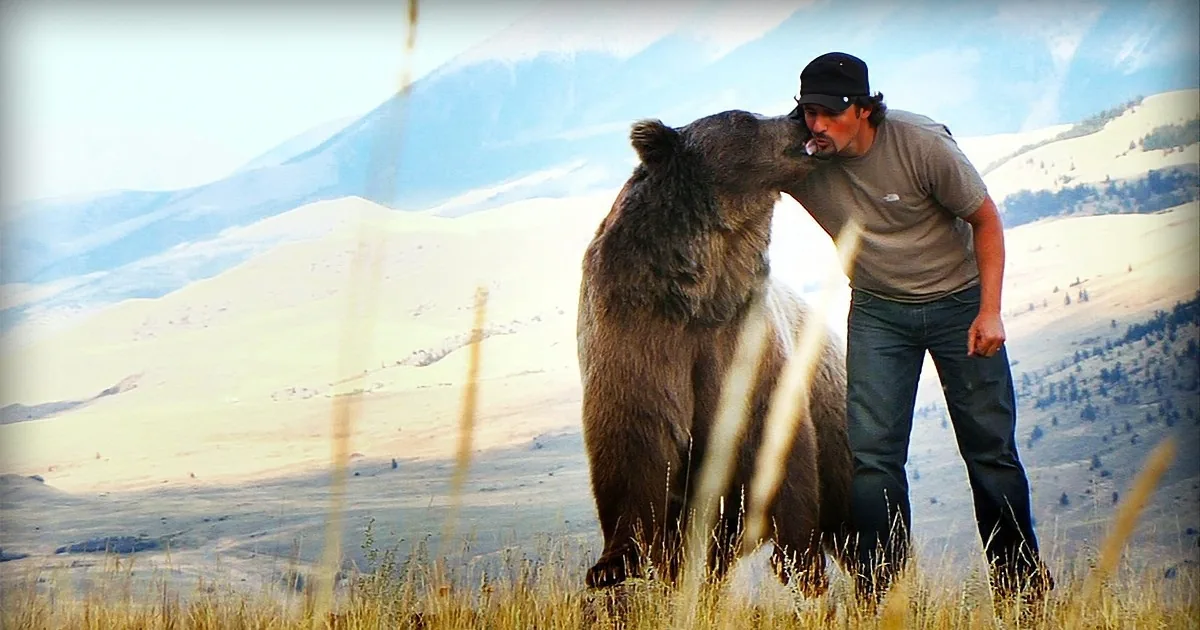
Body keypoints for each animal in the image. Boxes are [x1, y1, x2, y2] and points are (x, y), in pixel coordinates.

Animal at [575, 108, 855, 596]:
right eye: (743, 119)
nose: (798, 116)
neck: (703, 291)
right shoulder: (635, 328)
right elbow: (633, 430)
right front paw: (613, 564)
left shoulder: (746, 338)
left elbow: (776, 443)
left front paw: (799, 564)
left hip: (834, 415)